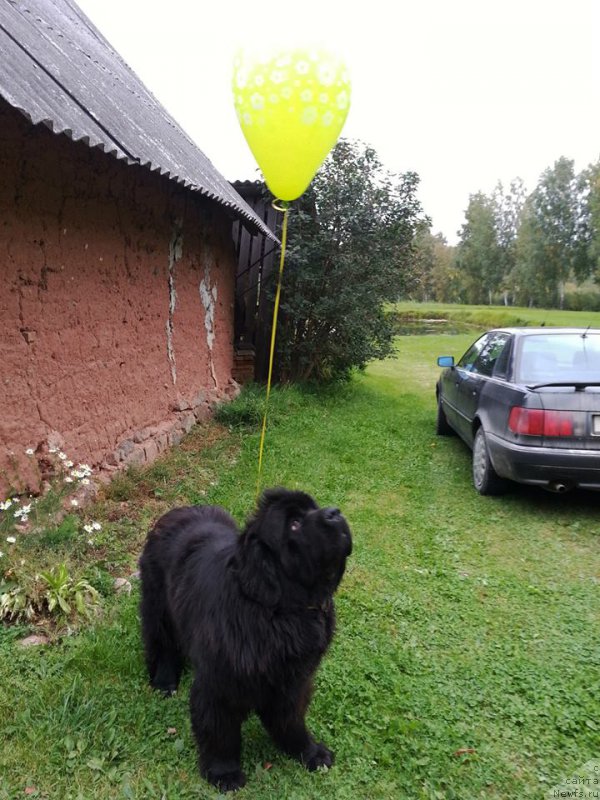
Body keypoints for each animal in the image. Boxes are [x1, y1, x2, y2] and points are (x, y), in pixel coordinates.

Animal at [139, 484, 352, 792]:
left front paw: (309, 752)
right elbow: (220, 730)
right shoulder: (221, 683)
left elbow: (292, 719)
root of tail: (177, 510)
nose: (335, 512)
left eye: (314, 507)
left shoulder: (293, 679)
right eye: (294, 523)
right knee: (161, 640)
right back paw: (165, 681)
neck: (279, 609)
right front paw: (223, 772)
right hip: (158, 603)